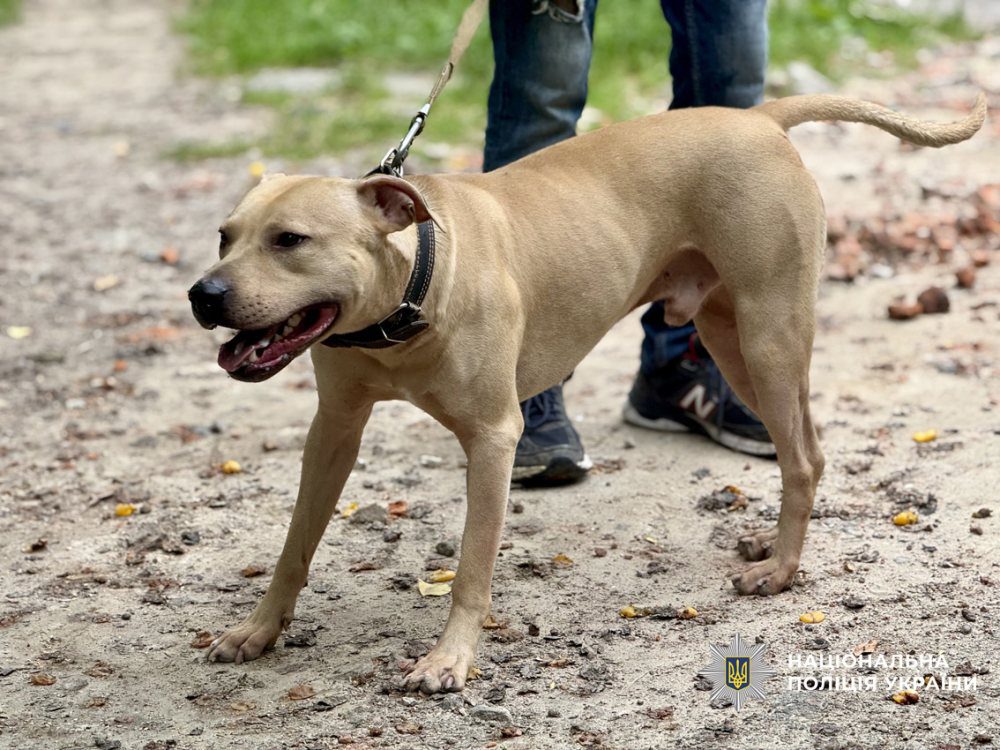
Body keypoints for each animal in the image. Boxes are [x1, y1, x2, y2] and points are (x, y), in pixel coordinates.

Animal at [188, 93, 986, 693]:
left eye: (291, 240)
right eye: (225, 236)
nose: (203, 294)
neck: (411, 289)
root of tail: (758, 116)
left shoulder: (493, 440)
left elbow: (470, 569)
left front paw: (450, 660)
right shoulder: (333, 431)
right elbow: (294, 545)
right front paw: (258, 630)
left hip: (769, 337)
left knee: (803, 458)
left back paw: (781, 572)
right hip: (735, 342)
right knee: (807, 450)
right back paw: (773, 544)